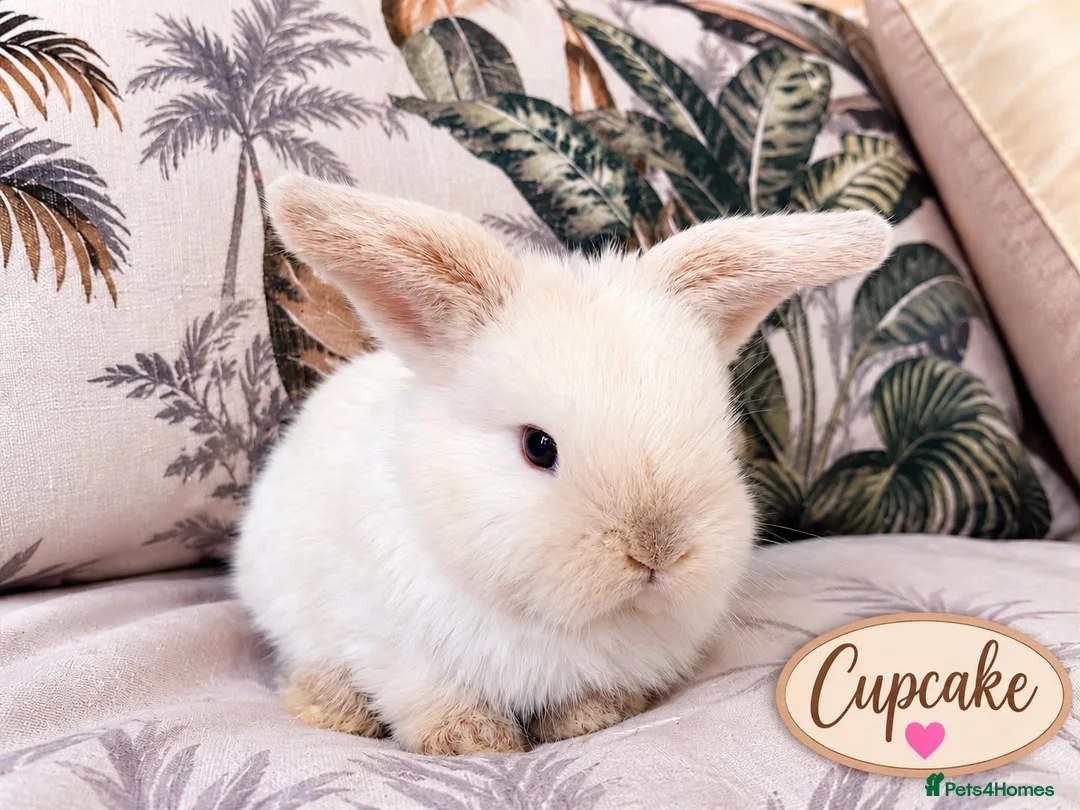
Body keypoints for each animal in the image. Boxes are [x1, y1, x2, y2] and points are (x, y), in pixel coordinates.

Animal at [232, 173, 891, 756]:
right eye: (538, 446)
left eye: (721, 436)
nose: (656, 552)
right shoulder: (398, 651)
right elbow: (437, 705)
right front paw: (478, 744)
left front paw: (586, 721)